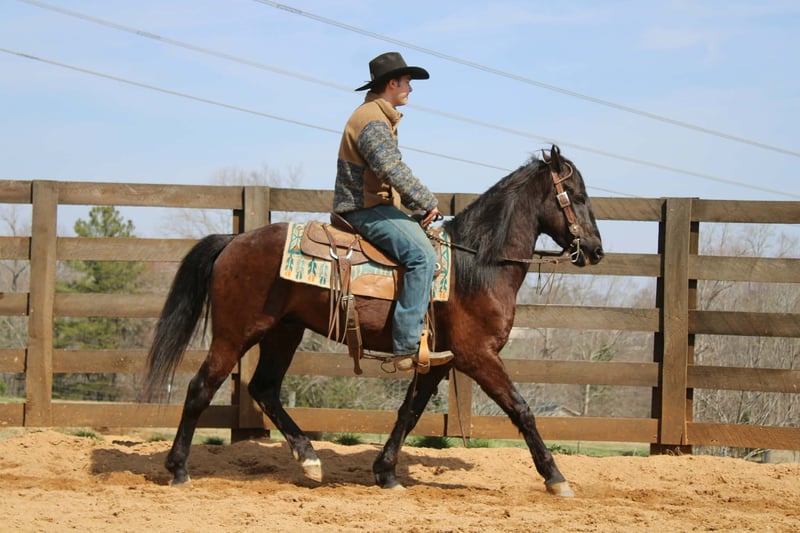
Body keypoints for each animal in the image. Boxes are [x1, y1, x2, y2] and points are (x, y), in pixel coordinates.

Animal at [143, 145, 604, 497]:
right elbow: (521, 410)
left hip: (283, 333)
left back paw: (308, 459)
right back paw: (179, 469)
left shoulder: (439, 361)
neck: (476, 265)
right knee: (201, 388)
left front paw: (385, 472)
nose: (597, 250)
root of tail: (234, 240)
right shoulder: (478, 355)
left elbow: (409, 412)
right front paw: (556, 478)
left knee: (264, 389)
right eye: (577, 195)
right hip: (234, 334)